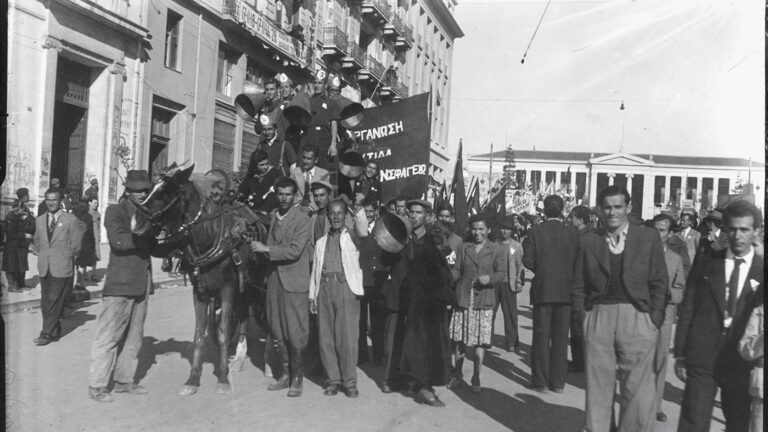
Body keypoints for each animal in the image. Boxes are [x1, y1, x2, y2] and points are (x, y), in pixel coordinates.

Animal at [132, 162, 264, 394]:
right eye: (151, 188)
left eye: (167, 192)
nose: (137, 224)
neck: (210, 239)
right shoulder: (200, 293)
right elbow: (199, 335)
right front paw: (193, 379)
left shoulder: (228, 289)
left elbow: (222, 332)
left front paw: (223, 378)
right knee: (242, 314)